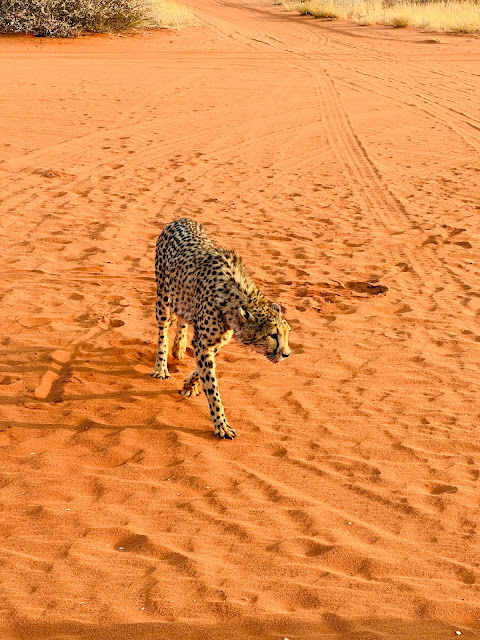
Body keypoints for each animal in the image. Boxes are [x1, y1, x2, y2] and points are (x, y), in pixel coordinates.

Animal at [152, 218, 290, 438]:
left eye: (287, 334)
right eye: (272, 335)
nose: (286, 354)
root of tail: (181, 219)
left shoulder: (214, 342)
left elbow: (200, 371)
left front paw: (189, 386)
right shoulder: (204, 343)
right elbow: (212, 386)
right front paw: (221, 425)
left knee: (183, 317)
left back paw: (179, 348)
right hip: (164, 296)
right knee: (163, 330)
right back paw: (161, 367)